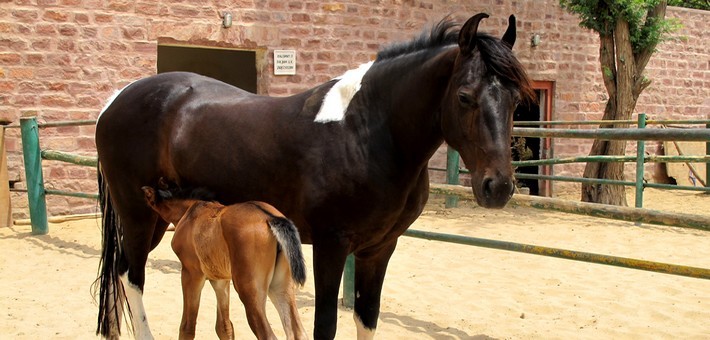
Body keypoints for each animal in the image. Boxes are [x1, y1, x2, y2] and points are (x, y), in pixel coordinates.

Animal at [94, 12, 532, 338]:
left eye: (516, 100)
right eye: (465, 97)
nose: (498, 186)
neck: (365, 132)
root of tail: (116, 100)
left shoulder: (379, 250)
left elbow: (366, 321)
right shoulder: (329, 246)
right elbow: (326, 326)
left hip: (156, 217)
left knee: (119, 273)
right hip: (139, 215)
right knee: (132, 276)